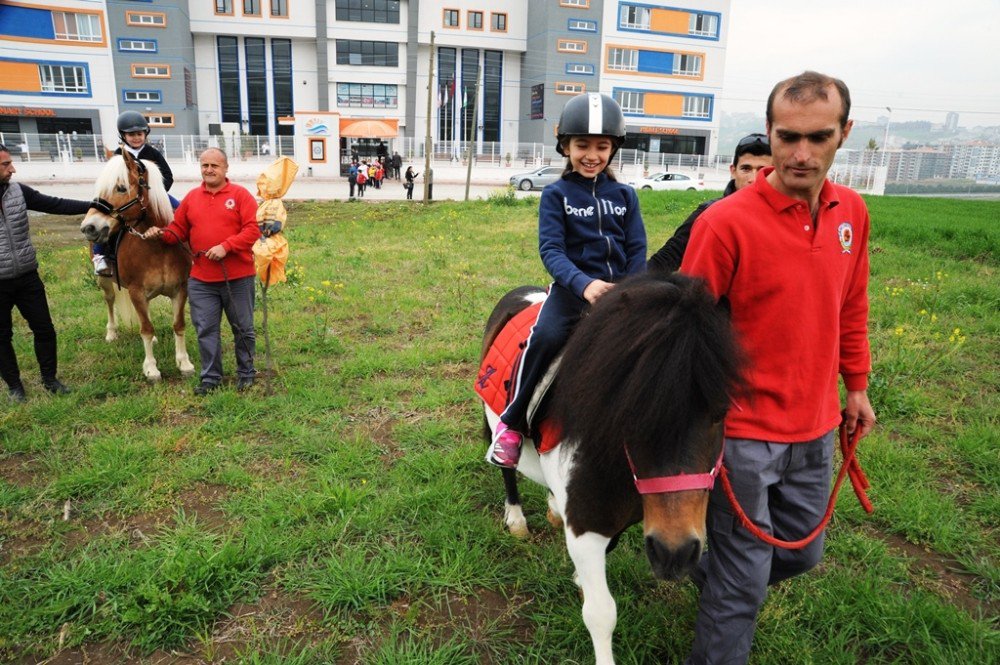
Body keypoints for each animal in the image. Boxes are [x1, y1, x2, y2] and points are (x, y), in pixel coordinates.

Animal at [79, 150, 193, 378]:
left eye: (121, 187)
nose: (88, 227)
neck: (158, 245)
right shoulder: (136, 291)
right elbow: (146, 329)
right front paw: (151, 368)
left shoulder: (180, 290)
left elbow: (178, 325)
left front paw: (184, 363)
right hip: (104, 281)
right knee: (110, 300)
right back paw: (111, 332)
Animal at [476, 272, 744, 664]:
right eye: (630, 410)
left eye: (721, 411)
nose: (675, 553)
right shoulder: (587, 529)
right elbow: (601, 614)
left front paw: (577, 575)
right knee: (506, 468)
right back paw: (516, 518)